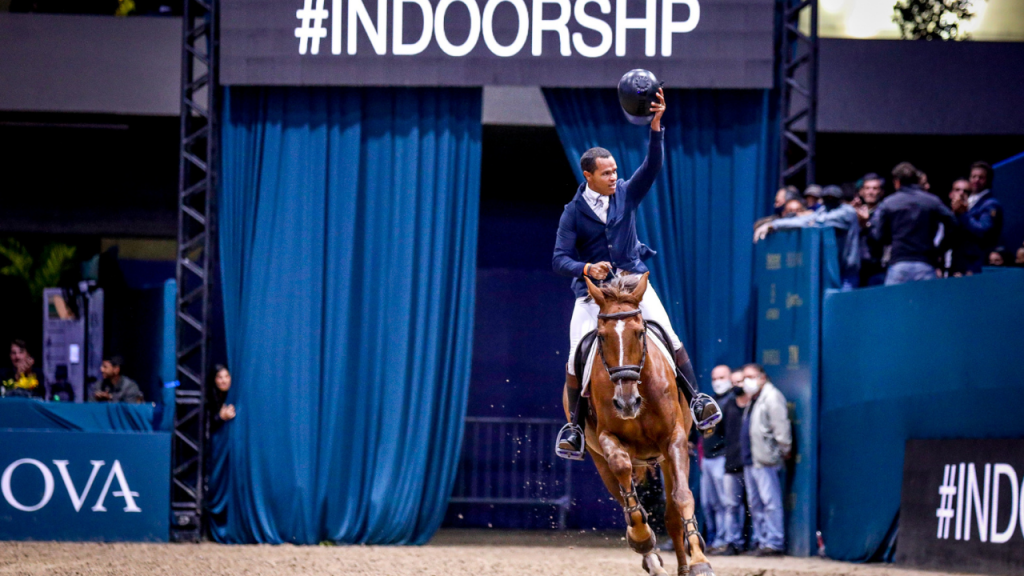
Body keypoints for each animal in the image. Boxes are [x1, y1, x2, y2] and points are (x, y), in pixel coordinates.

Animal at [565, 270, 716, 569]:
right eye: (602, 337)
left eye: (639, 332)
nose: (626, 403)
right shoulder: (607, 439)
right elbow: (622, 469)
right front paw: (642, 536)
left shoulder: (674, 439)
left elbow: (683, 497)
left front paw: (700, 560)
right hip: (598, 459)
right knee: (624, 495)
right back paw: (651, 557)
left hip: (664, 457)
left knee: (671, 517)